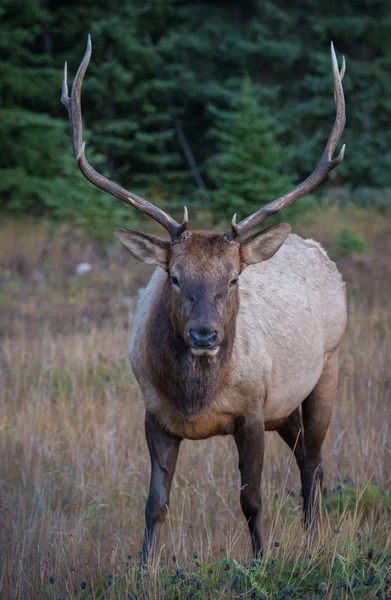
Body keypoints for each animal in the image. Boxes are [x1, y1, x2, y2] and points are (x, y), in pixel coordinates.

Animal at [62, 37, 350, 556]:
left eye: (233, 279)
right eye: (175, 276)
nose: (203, 334)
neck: (196, 401)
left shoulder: (253, 410)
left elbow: (251, 500)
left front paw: (260, 560)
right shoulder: (154, 415)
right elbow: (154, 504)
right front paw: (144, 565)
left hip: (326, 369)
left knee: (314, 461)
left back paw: (315, 539)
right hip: (285, 406)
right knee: (306, 456)